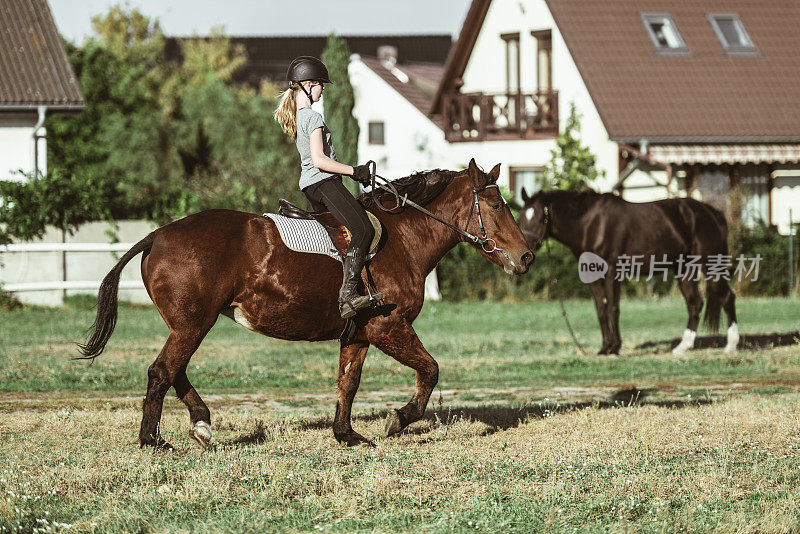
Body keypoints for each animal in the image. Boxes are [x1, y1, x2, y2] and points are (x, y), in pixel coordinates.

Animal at [81, 160, 536, 452]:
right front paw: (398, 419)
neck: (403, 238)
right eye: (497, 205)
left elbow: (347, 383)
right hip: (193, 325)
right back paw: (153, 440)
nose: (527, 257)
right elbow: (431, 370)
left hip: (189, 324)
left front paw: (346, 435)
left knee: (174, 371)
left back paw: (202, 424)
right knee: (162, 371)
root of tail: (156, 236)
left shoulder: (359, 334)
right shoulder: (389, 326)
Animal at [520, 191, 736, 358]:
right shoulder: (592, 274)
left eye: (540, 218)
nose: (526, 255)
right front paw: (605, 348)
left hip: (710, 265)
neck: (592, 224)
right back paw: (682, 347)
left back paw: (731, 346)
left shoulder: (613, 271)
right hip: (684, 269)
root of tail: (713, 213)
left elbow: (612, 308)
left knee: (726, 297)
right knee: (695, 303)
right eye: (521, 217)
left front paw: (615, 347)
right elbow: (600, 309)